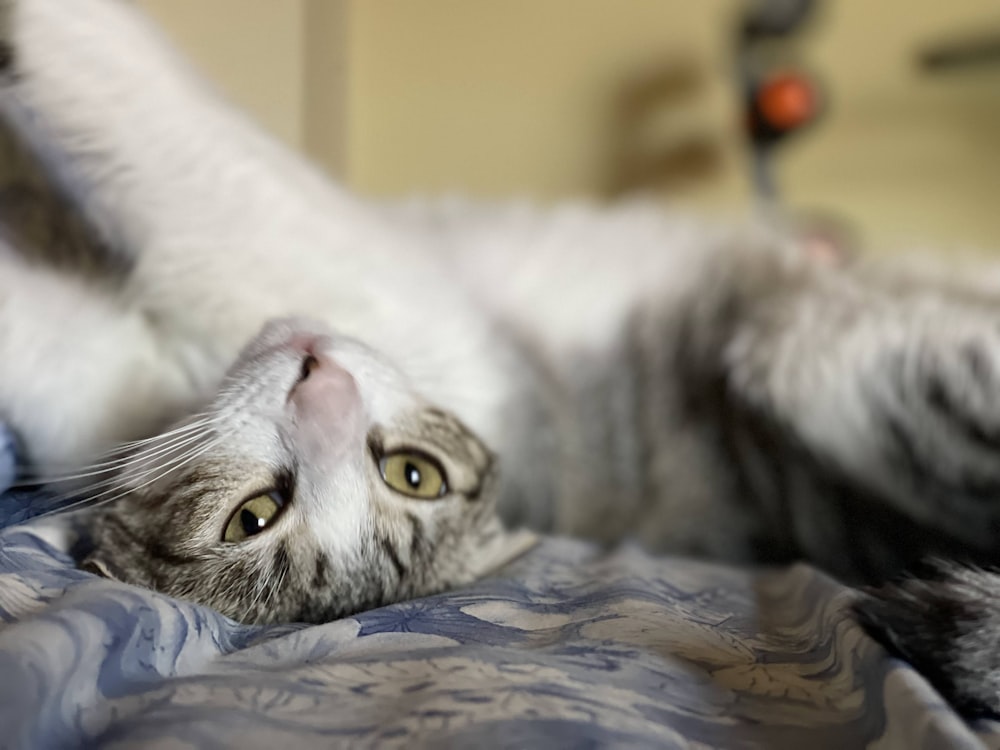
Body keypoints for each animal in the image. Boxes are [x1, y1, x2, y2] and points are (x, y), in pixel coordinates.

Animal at [1, 0, 1000, 724]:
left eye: (412, 474)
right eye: (254, 517)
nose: (324, 383)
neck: (172, 393)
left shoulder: (371, 283)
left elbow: (187, 150)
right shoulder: (98, 382)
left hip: (824, 376)